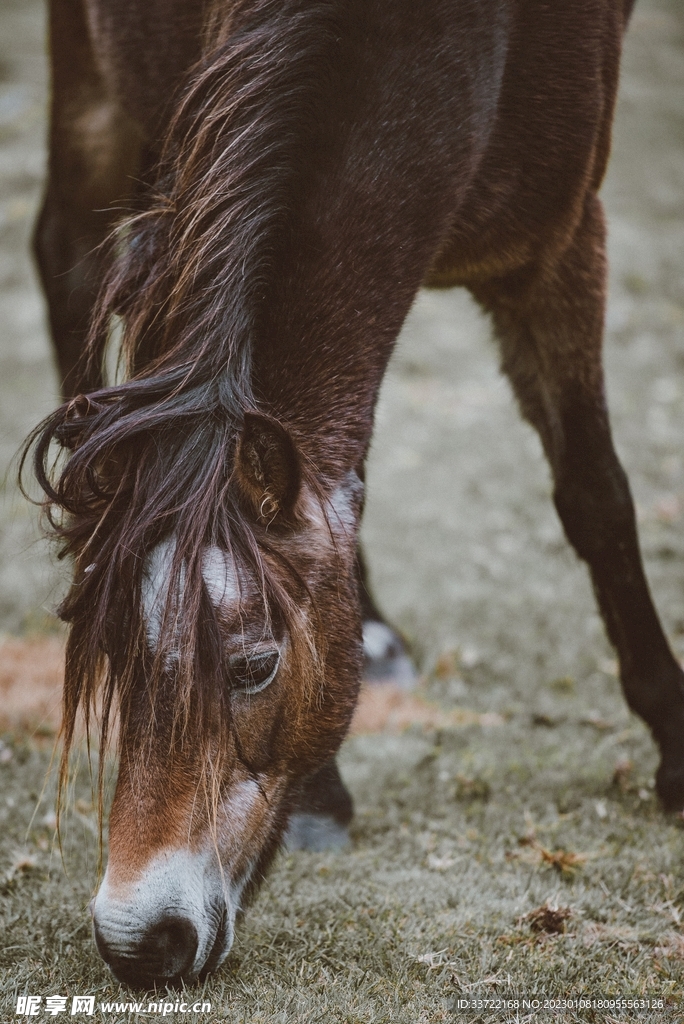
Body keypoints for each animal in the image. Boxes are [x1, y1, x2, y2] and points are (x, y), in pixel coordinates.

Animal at [26, 0, 684, 991]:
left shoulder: (564, 249)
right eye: (108, 657)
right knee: (66, 252)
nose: (137, 944)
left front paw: (676, 748)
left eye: (256, 665)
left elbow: (596, 498)